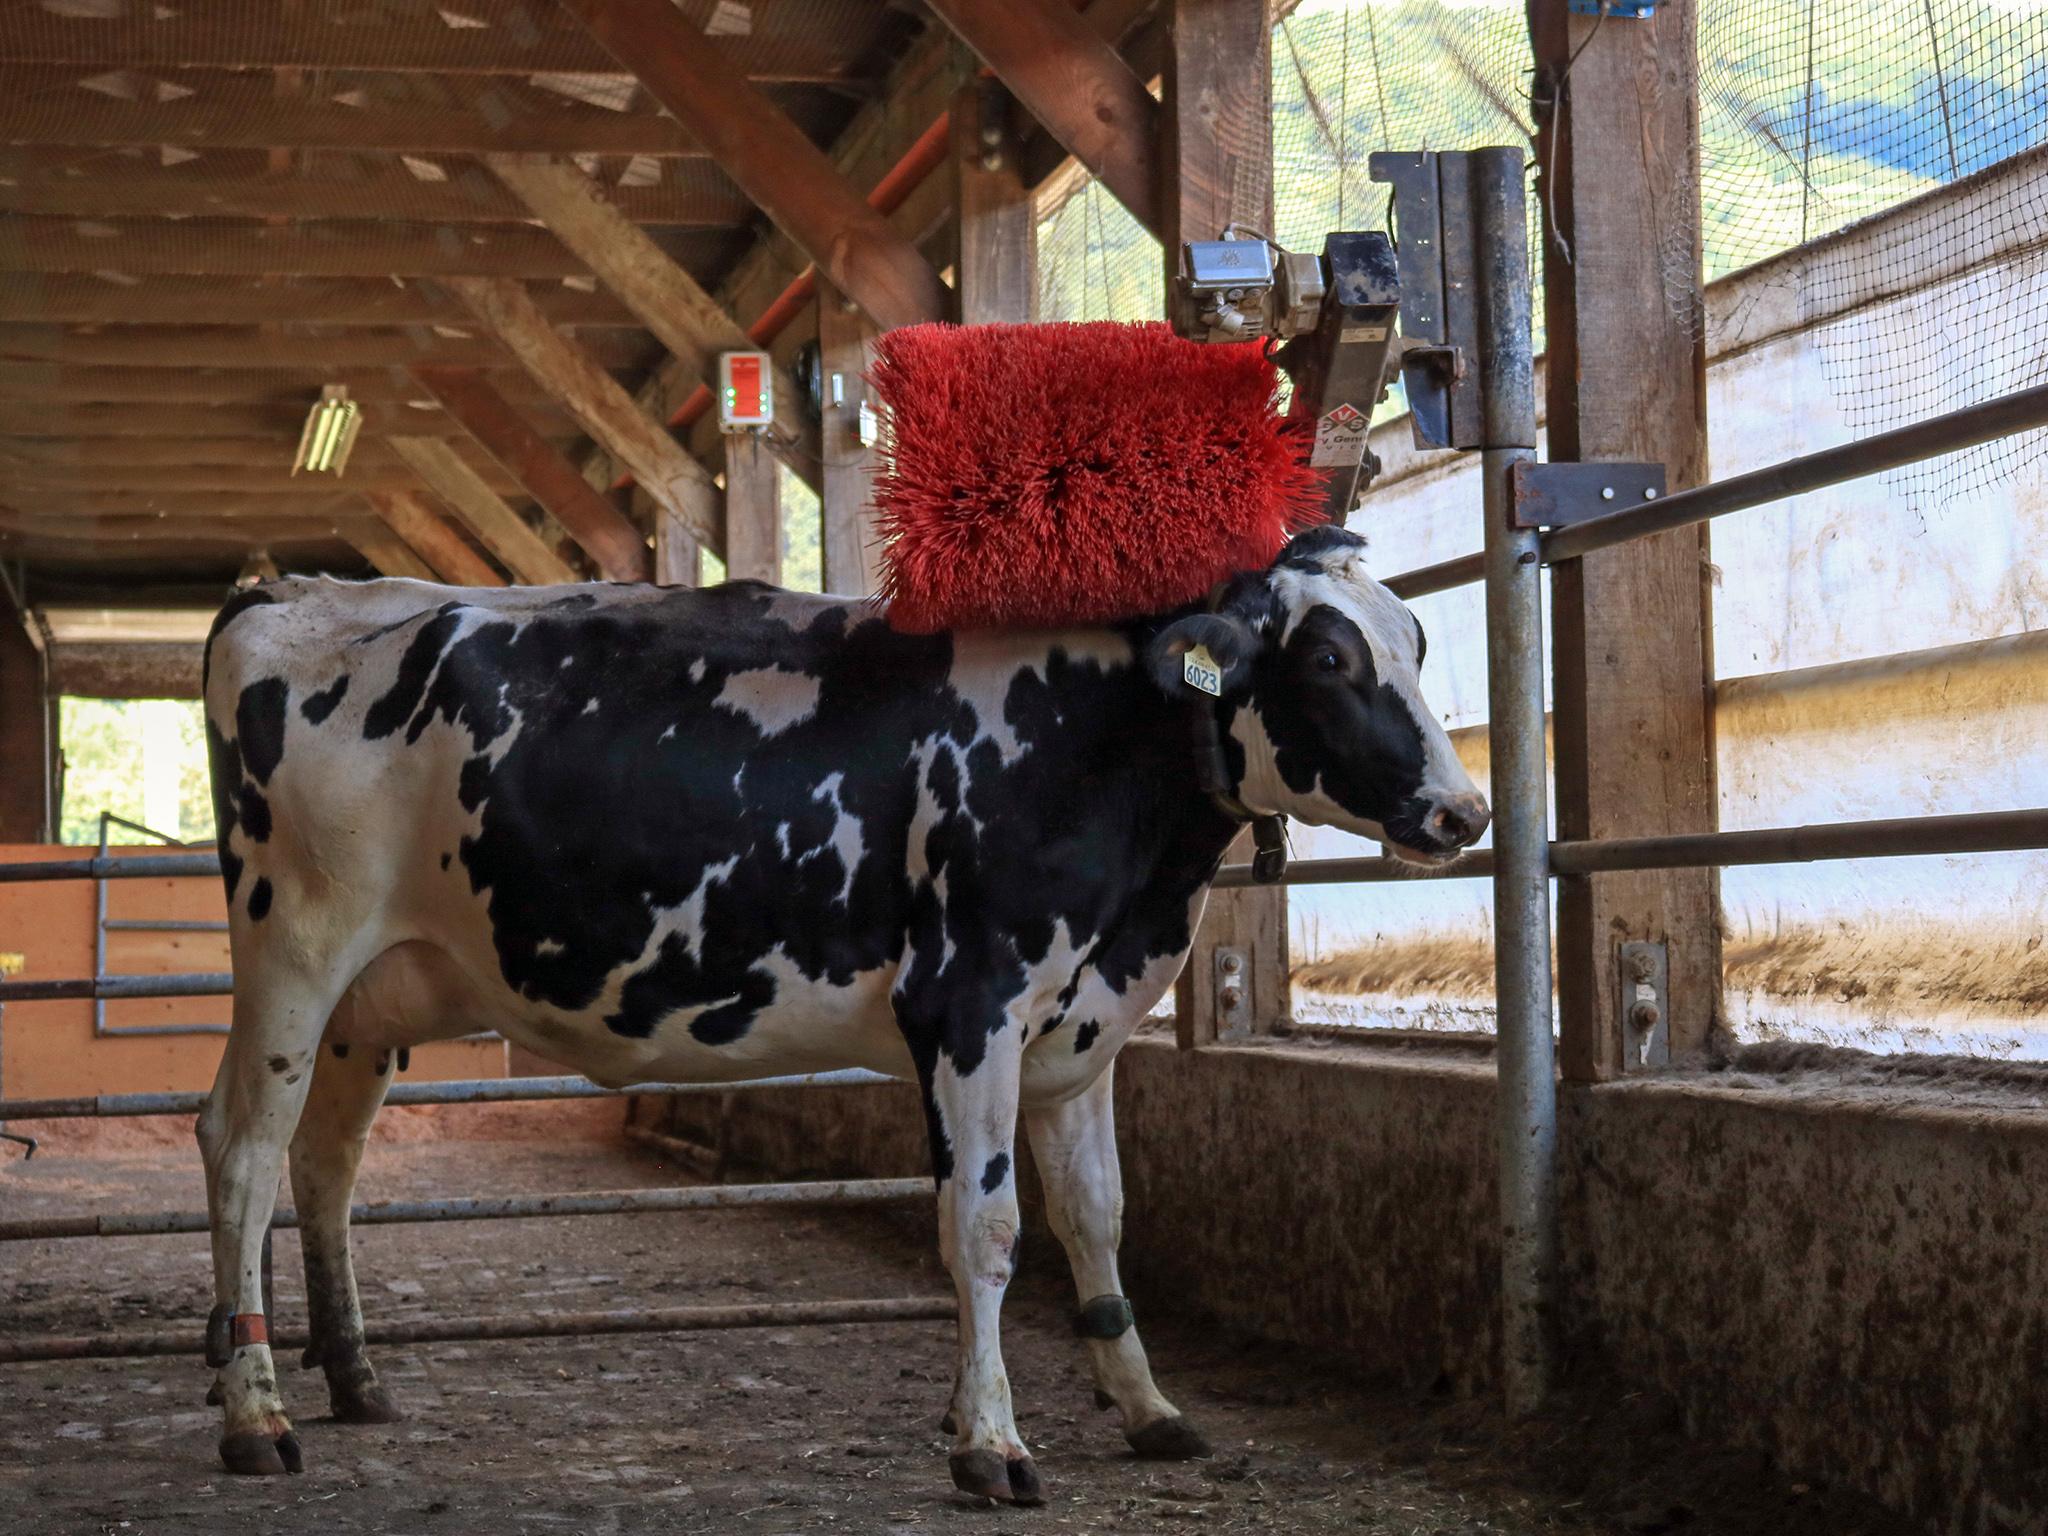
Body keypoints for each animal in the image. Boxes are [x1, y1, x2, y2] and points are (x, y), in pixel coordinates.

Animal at [192, 528, 1490, 1507]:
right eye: (1327, 656)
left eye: (1414, 637)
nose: (1462, 810)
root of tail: (291, 591)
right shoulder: (969, 1004)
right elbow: (985, 1228)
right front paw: (990, 1443)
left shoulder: (1078, 1035)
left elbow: (1098, 1220)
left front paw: (1146, 1407)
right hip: (294, 948)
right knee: (242, 1148)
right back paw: (254, 1414)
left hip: (369, 998)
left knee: (325, 1163)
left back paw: (353, 1379)